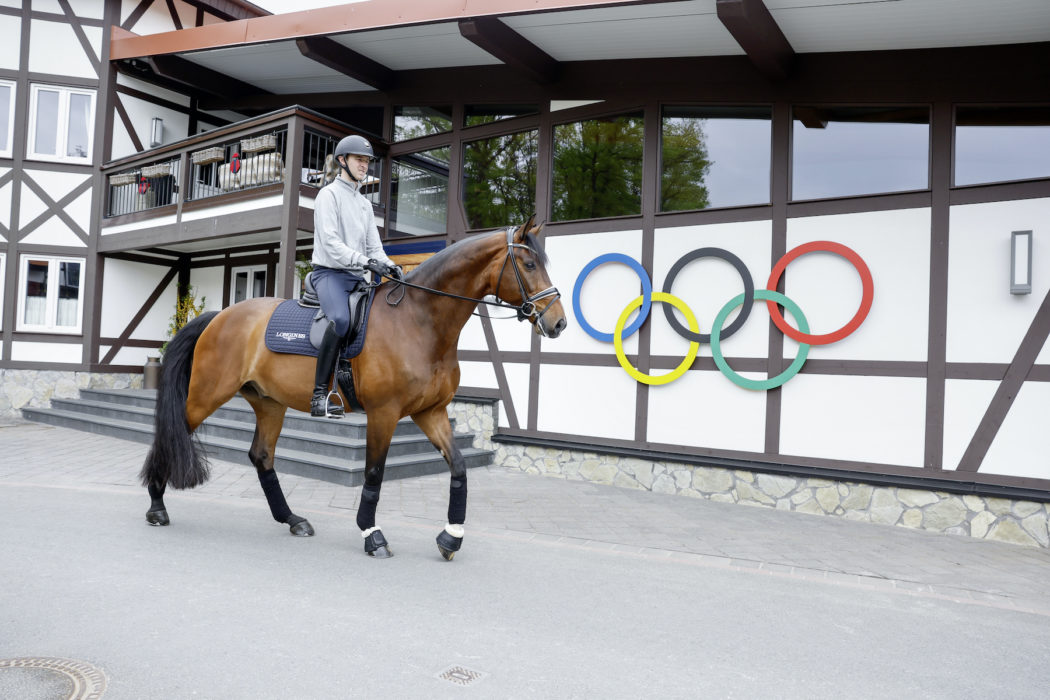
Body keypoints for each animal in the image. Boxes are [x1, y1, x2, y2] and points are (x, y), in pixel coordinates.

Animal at [141, 216, 567, 562]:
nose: (558, 323)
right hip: (206, 395)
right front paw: (372, 534)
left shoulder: (429, 413)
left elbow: (459, 466)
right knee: (170, 435)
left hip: (270, 404)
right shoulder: (384, 414)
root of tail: (220, 316)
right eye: (529, 264)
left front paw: (451, 537)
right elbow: (374, 474)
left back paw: (292, 519)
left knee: (262, 457)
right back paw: (157, 507)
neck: (419, 321)